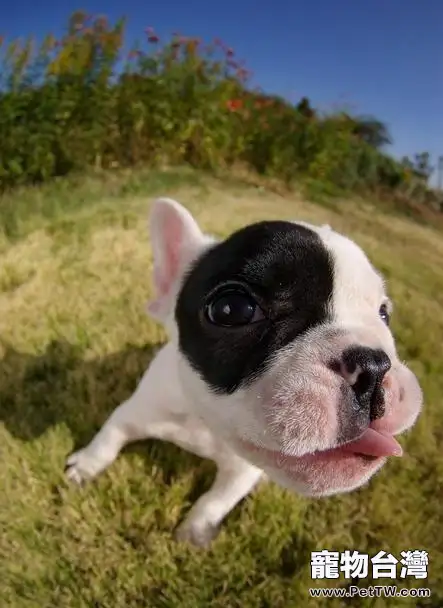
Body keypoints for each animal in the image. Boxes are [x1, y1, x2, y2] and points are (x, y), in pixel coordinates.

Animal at [65, 198, 424, 548]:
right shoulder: (135, 411)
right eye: (232, 309)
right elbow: (108, 438)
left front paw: (194, 533)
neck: (204, 425)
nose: (373, 367)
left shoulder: (240, 473)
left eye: (384, 314)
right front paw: (84, 466)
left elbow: (215, 501)